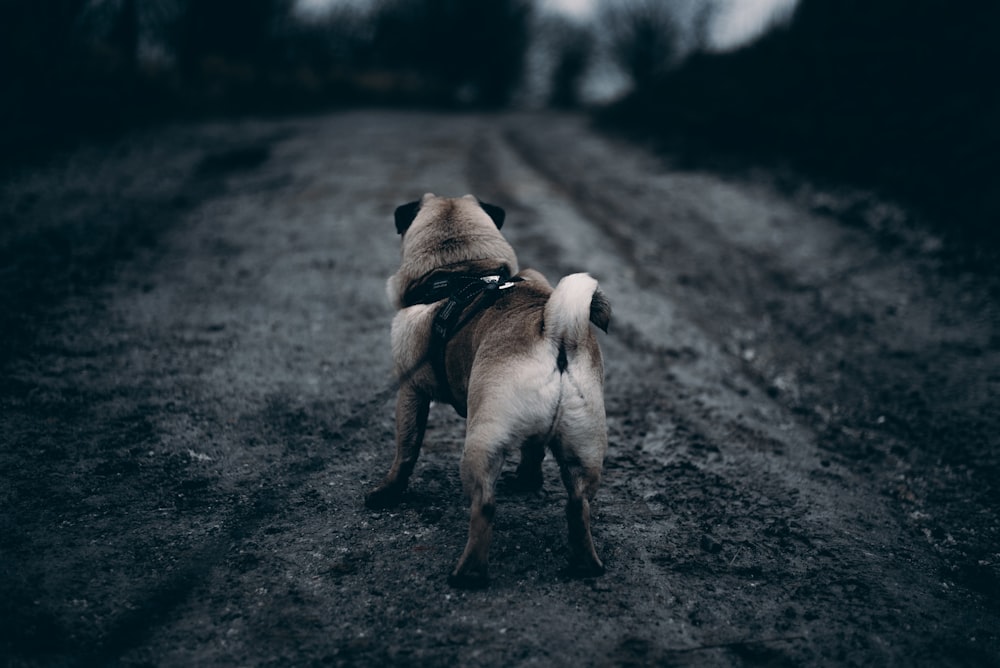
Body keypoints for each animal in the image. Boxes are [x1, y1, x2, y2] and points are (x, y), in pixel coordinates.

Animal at [364, 190, 604, 588]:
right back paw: (584, 562)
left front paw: (387, 492)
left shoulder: (411, 391)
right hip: (582, 446)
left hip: (481, 443)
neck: (463, 270)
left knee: (484, 506)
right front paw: (526, 480)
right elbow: (533, 452)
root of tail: (555, 333)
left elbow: (406, 451)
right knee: (577, 504)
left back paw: (467, 574)